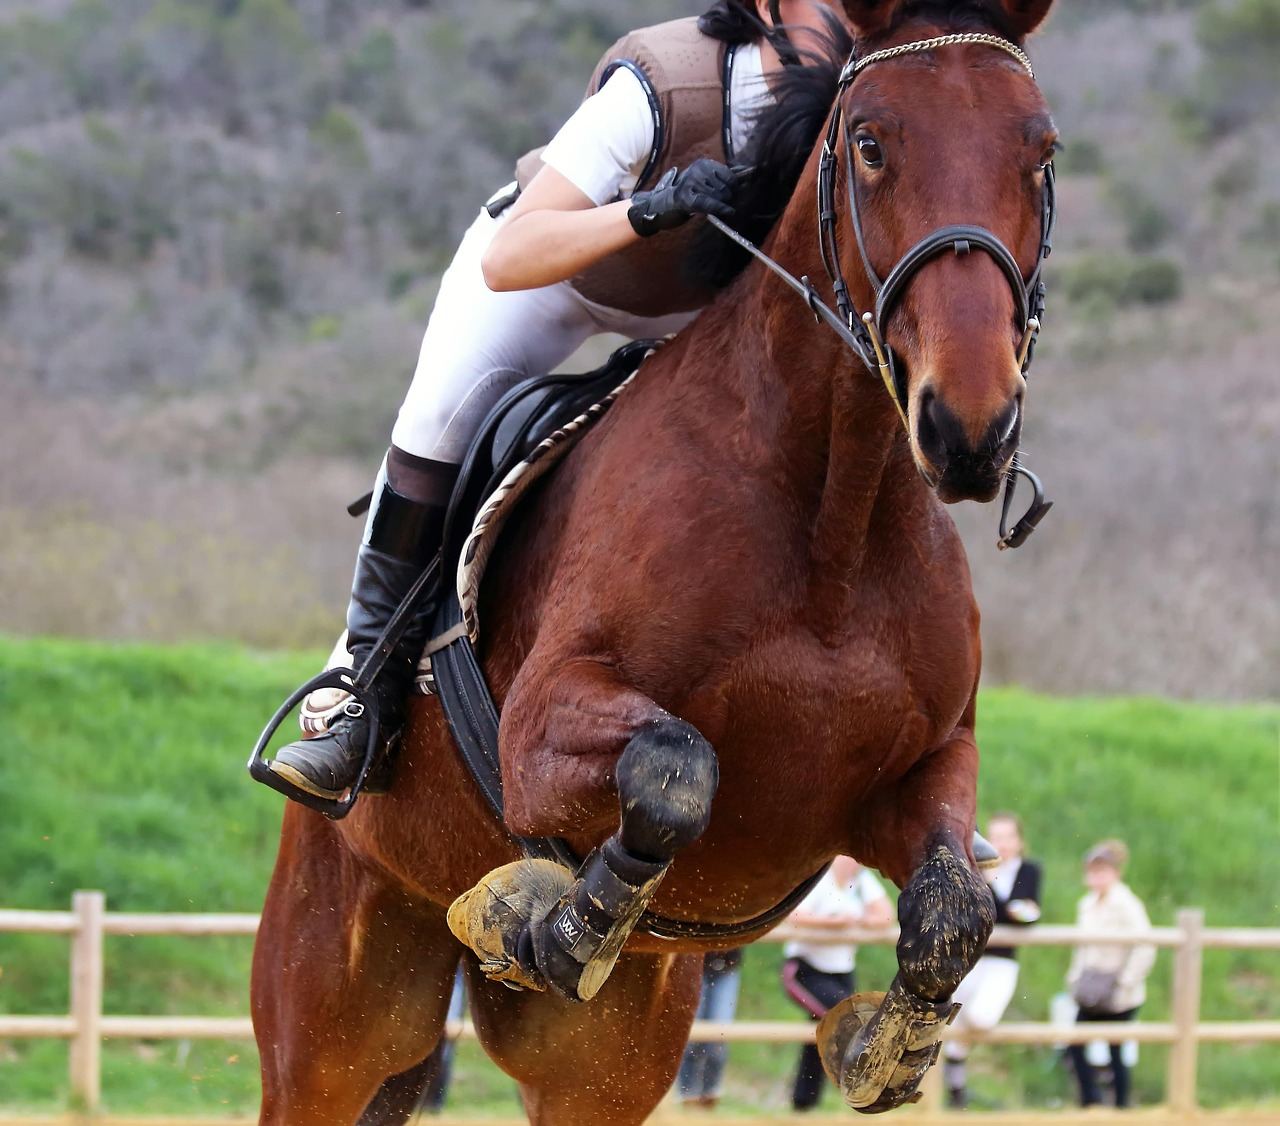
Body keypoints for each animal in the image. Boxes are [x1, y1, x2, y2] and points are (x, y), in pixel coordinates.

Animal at [250, 0, 1060, 1121]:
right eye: (868, 145)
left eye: (1041, 152)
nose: (968, 428)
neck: (835, 515)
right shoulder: (542, 729)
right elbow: (677, 768)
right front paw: (550, 923)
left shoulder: (921, 772)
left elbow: (955, 903)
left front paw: (883, 1045)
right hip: (329, 1026)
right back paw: (345, 745)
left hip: (601, 1066)